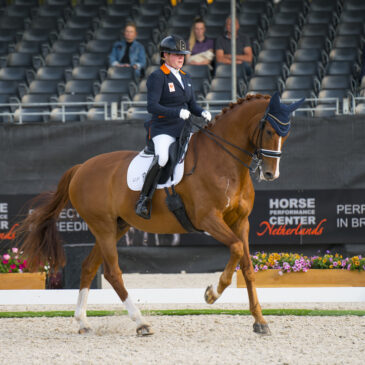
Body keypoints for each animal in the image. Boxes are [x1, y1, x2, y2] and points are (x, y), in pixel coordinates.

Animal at [19, 93, 292, 336]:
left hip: (117, 227)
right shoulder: (208, 219)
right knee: (113, 273)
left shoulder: (240, 222)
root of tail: (81, 167)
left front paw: (260, 322)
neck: (223, 161)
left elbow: (246, 266)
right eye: (269, 131)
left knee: (88, 267)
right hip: (103, 227)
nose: (271, 174)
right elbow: (235, 248)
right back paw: (141, 323)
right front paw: (211, 294)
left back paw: (83, 323)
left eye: (285, 134)